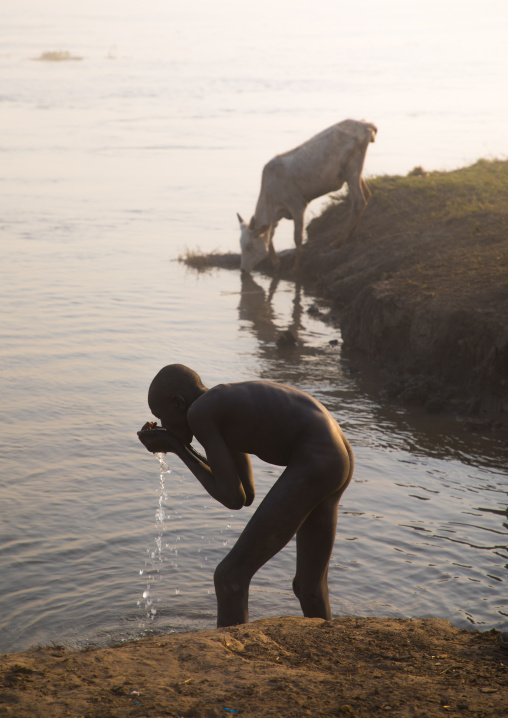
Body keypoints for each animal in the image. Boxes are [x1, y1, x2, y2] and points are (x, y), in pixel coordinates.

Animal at [237, 119, 377, 273]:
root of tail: (366, 125)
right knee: (366, 195)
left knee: (359, 200)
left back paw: (340, 240)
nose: (242, 269)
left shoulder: (298, 205)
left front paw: (295, 267)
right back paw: (351, 233)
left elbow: (297, 238)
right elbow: (270, 236)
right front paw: (275, 263)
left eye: (249, 246)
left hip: (351, 168)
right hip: (352, 172)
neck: (273, 205)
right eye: (240, 244)